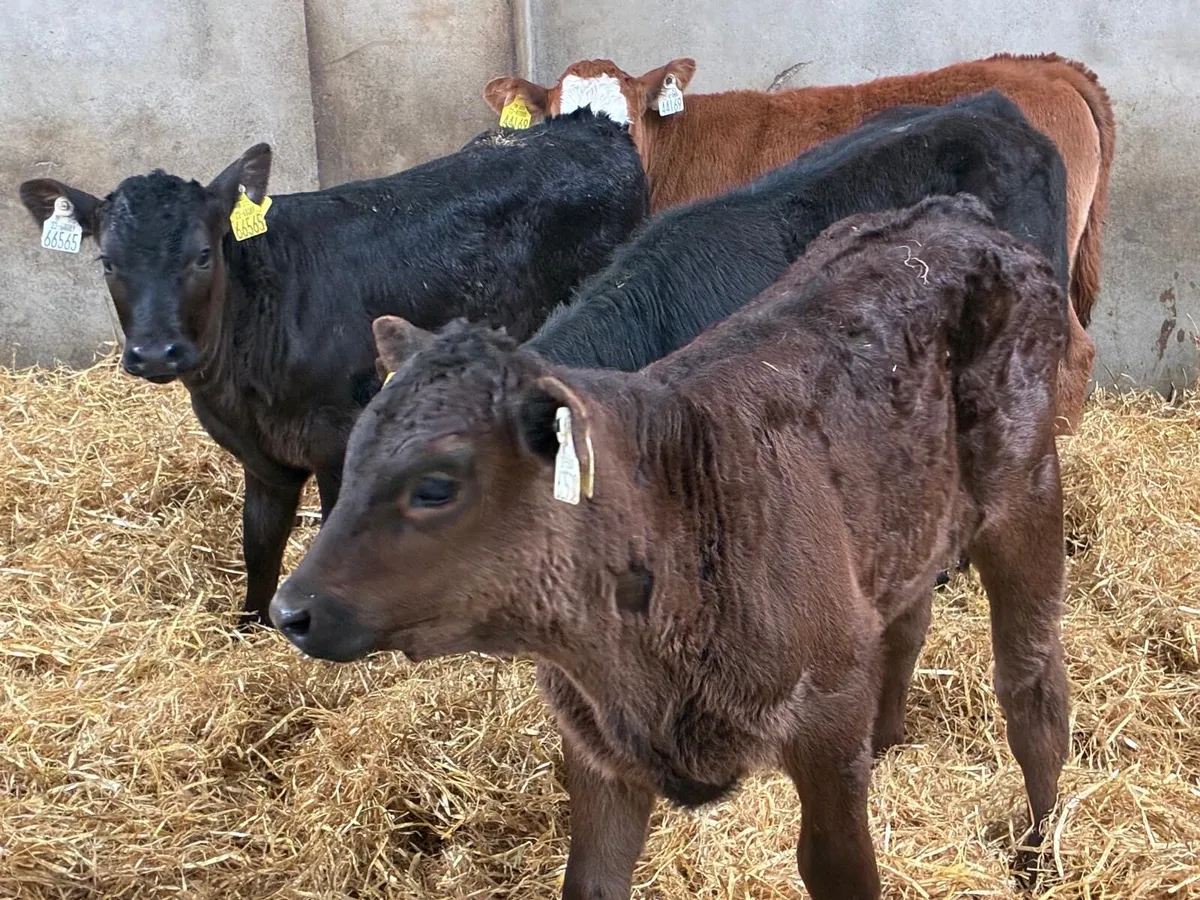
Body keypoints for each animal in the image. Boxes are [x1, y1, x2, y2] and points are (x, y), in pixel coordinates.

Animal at [17, 109, 648, 625]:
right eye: (107, 261)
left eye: (202, 254)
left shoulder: (339, 436)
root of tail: (591, 124)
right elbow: (259, 542)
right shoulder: (259, 453)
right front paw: (251, 626)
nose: (154, 352)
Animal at [268, 194, 1071, 899]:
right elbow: (592, 880)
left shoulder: (828, 708)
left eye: (435, 485)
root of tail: (956, 217)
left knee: (1032, 689)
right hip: (902, 522)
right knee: (908, 619)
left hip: (1026, 490)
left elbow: (838, 869)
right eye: (356, 451)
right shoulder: (597, 743)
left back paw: (1040, 856)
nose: (289, 609)